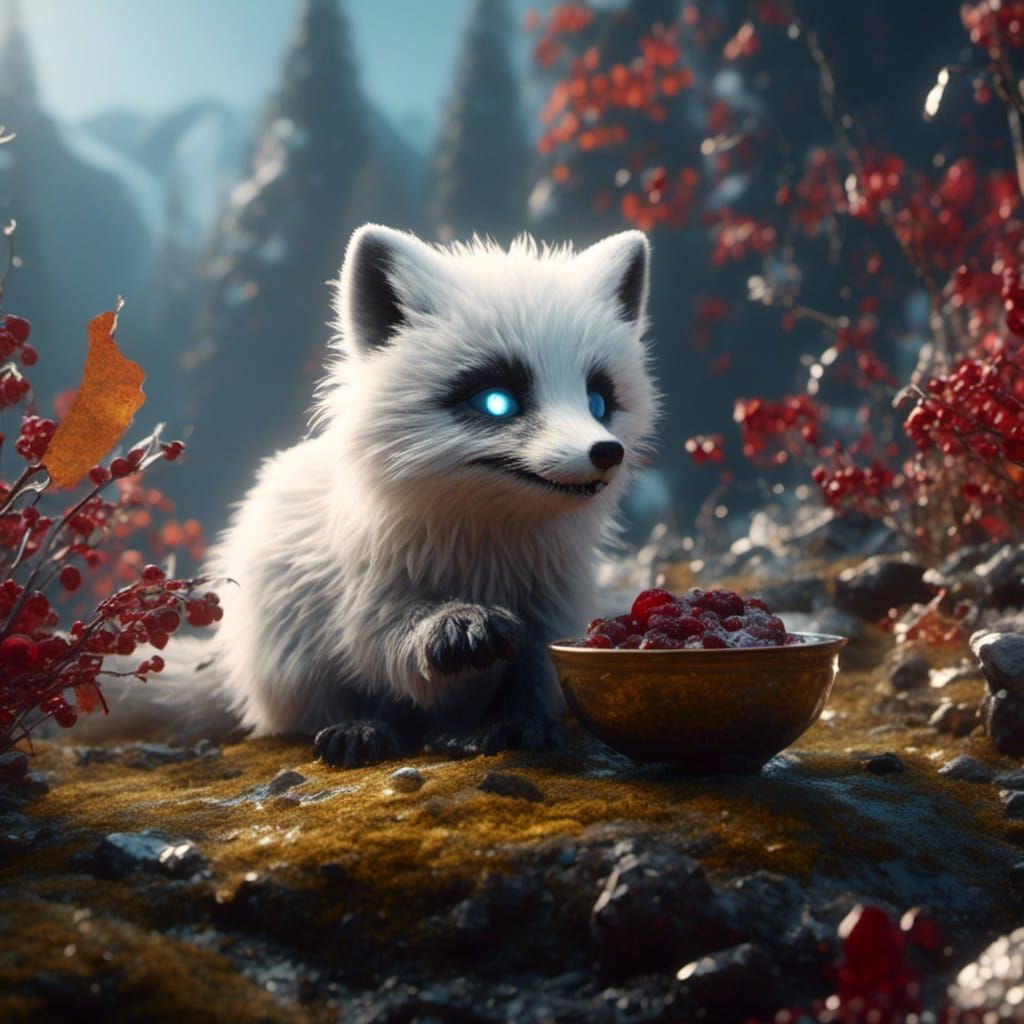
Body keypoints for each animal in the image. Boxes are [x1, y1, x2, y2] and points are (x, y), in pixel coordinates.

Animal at [93, 224, 659, 767]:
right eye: (496, 401)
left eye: (598, 401)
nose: (606, 452)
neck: (487, 547)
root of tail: (229, 667)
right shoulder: (365, 594)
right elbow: (385, 647)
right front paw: (455, 625)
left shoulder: (554, 608)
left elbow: (533, 677)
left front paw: (517, 727)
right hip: (289, 645)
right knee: (316, 707)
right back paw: (359, 731)